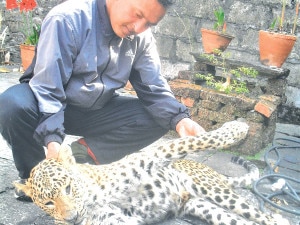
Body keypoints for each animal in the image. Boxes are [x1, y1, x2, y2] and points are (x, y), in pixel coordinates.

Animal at [14, 121, 290, 225]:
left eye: (69, 188)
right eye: (48, 202)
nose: (71, 219)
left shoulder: (145, 158)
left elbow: (189, 141)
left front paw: (237, 128)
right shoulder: (119, 222)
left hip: (213, 190)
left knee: (259, 214)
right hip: (203, 206)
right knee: (242, 220)